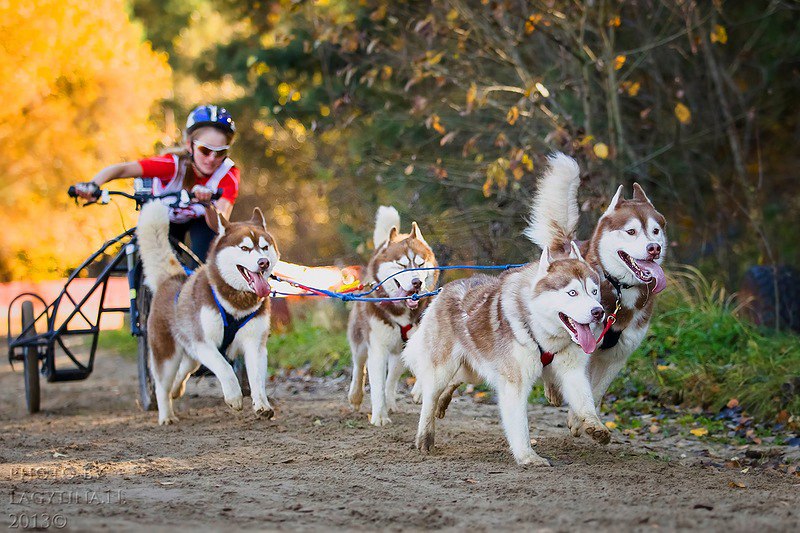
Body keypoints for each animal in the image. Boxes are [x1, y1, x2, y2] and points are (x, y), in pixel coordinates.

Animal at [140, 200, 282, 424]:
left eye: (264, 247)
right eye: (244, 248)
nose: (263, 262)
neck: (237, 302)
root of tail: (171, 279)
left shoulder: (256, 344)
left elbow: (257, 378)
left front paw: (262, 405)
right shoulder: (203, 343)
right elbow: (224, 368)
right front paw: (234, 397)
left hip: (191, 353)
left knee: (185, 368)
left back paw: (176, 388)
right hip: (166, 352)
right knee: (162, 384)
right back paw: (166, 415)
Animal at [348, 206, 440, 426]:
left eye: (421, 264)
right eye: (401, 265)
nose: (416, 282)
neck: (403, 312)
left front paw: (419, 391)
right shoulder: (377, 349)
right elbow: (376, 386)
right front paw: (379, 416)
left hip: (399, 353)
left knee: (391, 379)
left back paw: (390, 401)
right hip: (360, 341)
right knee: (359, 366)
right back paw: (356, 396)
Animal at [404, 243, 608, 464]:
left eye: (594, 291)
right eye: (572, 293)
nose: (598, 312)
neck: (541, 332)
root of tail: (445, 289)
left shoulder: (572, 373)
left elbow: (585, 402)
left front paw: (595, 425)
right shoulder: (515, 383)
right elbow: (520, 425)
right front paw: (527, 456)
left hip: (476, 369)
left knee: (455, 381)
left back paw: (443, 403)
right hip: (443, 369)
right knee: (430, 398)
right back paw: (425, 435)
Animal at [528, 152, 664, 434]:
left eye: (655, 231)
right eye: (631, 231)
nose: (654, 248)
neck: (620, 290)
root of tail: (567, 246)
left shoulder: (618, 354)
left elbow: (596, 388)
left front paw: (581, 419)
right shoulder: (584, 346)